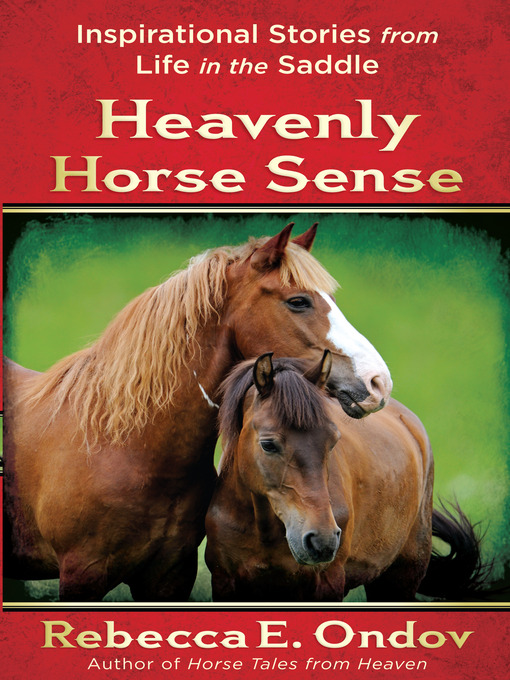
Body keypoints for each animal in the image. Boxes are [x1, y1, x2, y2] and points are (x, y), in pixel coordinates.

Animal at [205, 351, 487, 602]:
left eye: (332, 441)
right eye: (267, 444)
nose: (322, 540)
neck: (262, 528)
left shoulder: (327, 582)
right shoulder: (225, 581)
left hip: (400, 578)